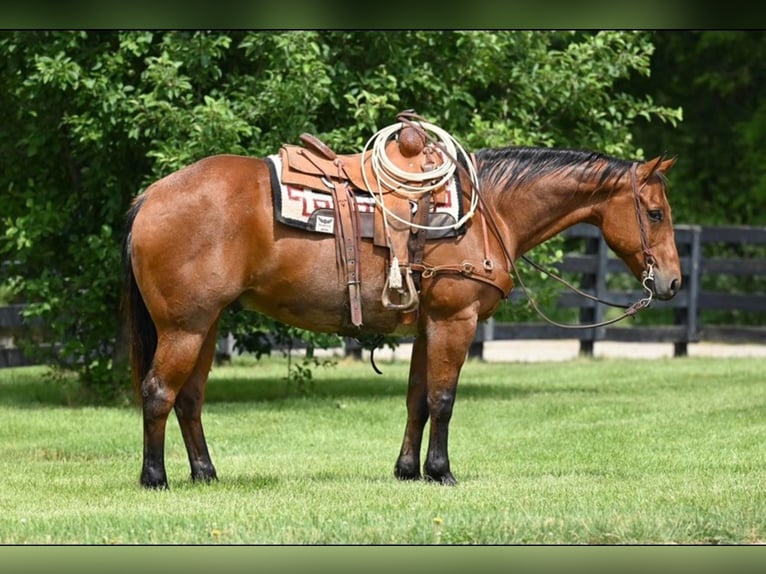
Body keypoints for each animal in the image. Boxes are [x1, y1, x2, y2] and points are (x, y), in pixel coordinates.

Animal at [123, 124, 680, 488]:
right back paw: (155, 478)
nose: (672, 282)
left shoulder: (428, 325)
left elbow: (417, 399)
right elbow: (444, 399)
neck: (486, 212)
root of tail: (151, 196)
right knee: (157, 392)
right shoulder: (456, 321)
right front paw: (441, 472)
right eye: (655, 213)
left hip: (206, 325)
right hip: (184, 327)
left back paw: (205, 474)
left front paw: (408, 471)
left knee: (189, 399)